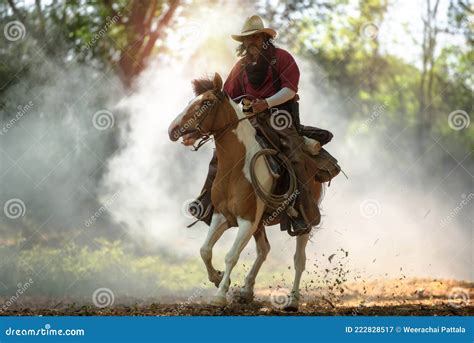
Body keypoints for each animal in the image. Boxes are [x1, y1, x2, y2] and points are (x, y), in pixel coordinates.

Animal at [168, 72, 322, 312]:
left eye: (206, 102)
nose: (173, 129)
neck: (237, 167)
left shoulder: (247, 221)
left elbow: (231, 255)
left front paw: (220, 295)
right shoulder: (222, 216)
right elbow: (205, 250)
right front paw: (217, 278)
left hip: (303, 222)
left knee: (299, 259)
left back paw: (293, 300)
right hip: (260, 224)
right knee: (264, 250)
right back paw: (246, 290)